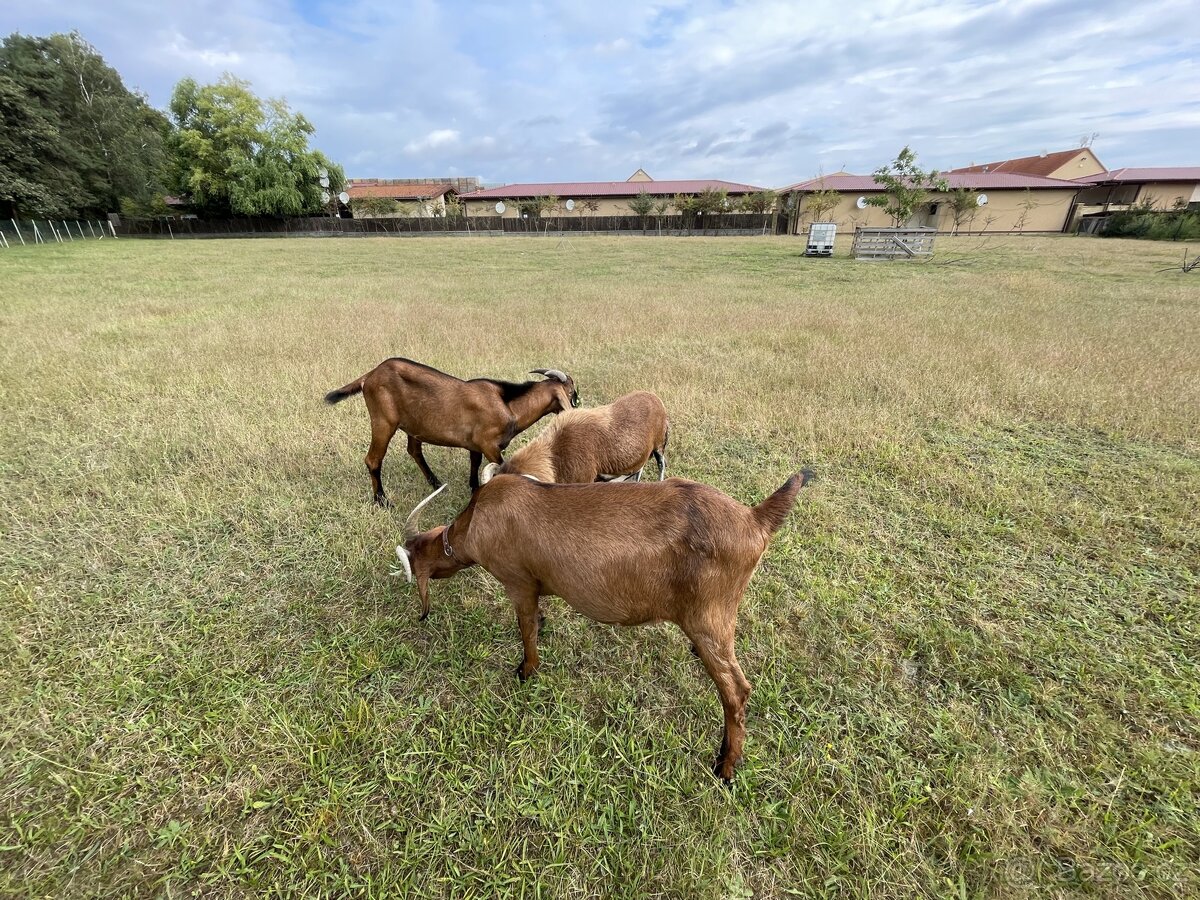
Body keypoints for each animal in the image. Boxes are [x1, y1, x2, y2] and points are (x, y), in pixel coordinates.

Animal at [324, 357, 576, 501]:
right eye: (571, 392)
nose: (577, 406)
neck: (508, 404)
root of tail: (370, 375)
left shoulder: (475, 444)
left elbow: (474, 463)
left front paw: (473, 487)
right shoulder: (489, 445)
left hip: (414, 424)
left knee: (414, 450)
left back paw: (435, 483)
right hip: (383, 422)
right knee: (373, 459)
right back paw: (381, 499)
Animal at [398, 472, 811, 782]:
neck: (475, 521)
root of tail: (754, 519)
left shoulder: (518, 582)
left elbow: (525, 628)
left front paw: (526, 671)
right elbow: (536, 620)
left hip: (709, 617)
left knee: (736, 691)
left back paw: (725, 768)